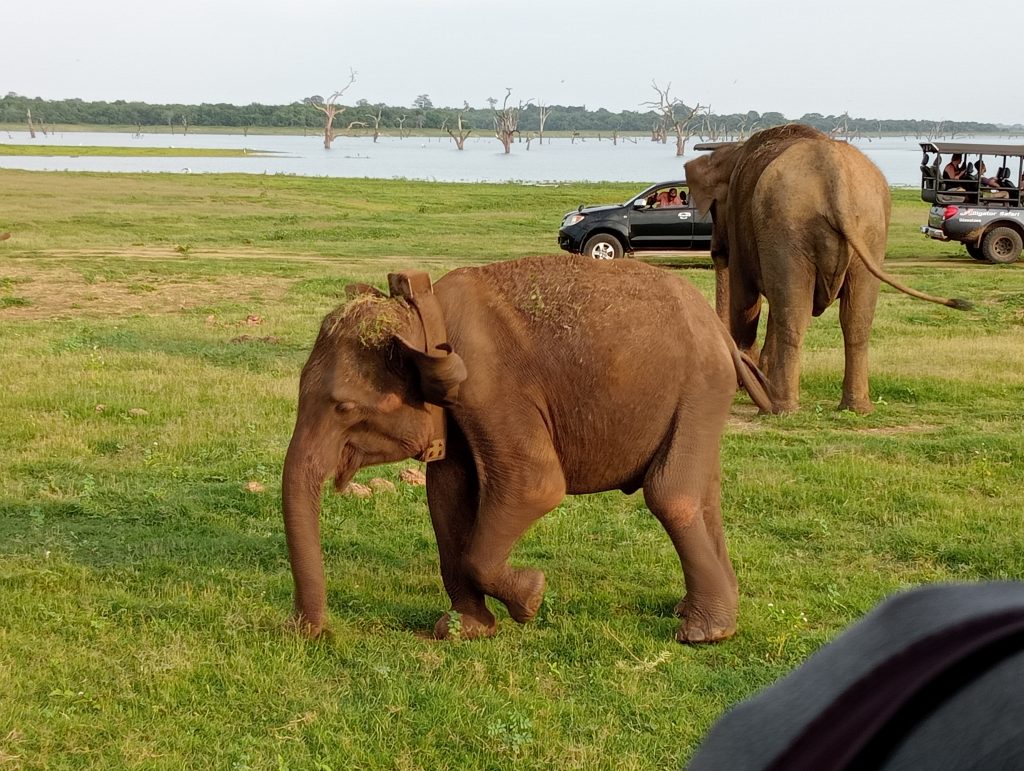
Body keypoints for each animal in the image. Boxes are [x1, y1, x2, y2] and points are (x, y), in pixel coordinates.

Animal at [282, 254, 772, 644]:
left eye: (343, 407)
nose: (309, 631)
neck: (424, 310)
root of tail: (722, 335)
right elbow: (446, 498)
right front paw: (464, 631)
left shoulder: (491, 388)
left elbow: (535, 487)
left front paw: (531, 597)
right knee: (704, 495)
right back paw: (699, 614)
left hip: (699, 389)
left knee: (671, 494)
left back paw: (702, 634)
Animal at [684, 124, 970, 415]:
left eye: (713, 210)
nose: (715, 250)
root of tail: (835, 177)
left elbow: (746, 301)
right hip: (869, 229)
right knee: (856, 319)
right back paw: (855, 408)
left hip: (789, 226)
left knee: (794, 316)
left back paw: (779, 408)